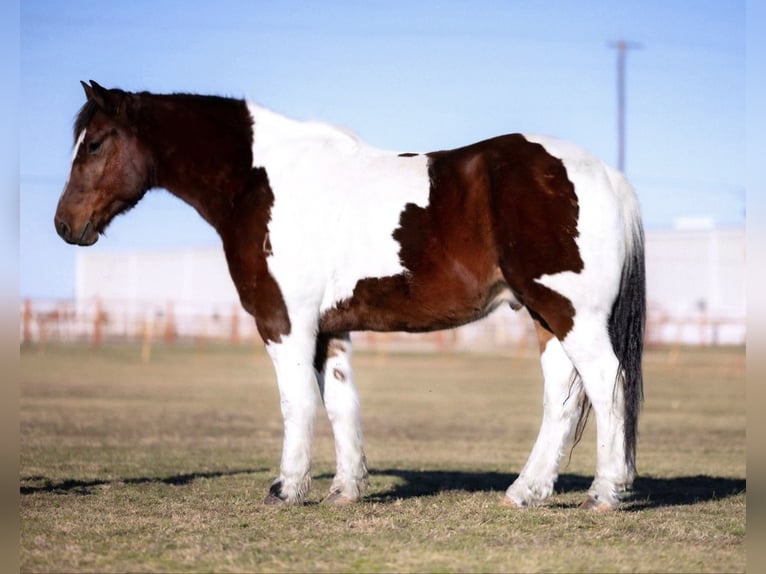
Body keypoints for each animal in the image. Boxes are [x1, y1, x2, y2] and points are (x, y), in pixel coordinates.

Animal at [54, 81, 644, 512]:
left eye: (96, 142)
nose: (64, 225)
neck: (260, 182)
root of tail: (604, 175)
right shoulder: (330, 329)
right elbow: (339, 402)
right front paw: (345, 489)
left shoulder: (283, 321)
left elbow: (295, 402)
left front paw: (288, 489)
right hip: (547, 315)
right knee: (562, 396)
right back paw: (527, 492)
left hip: (571, 313)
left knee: (605, 384)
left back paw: (605, 492)